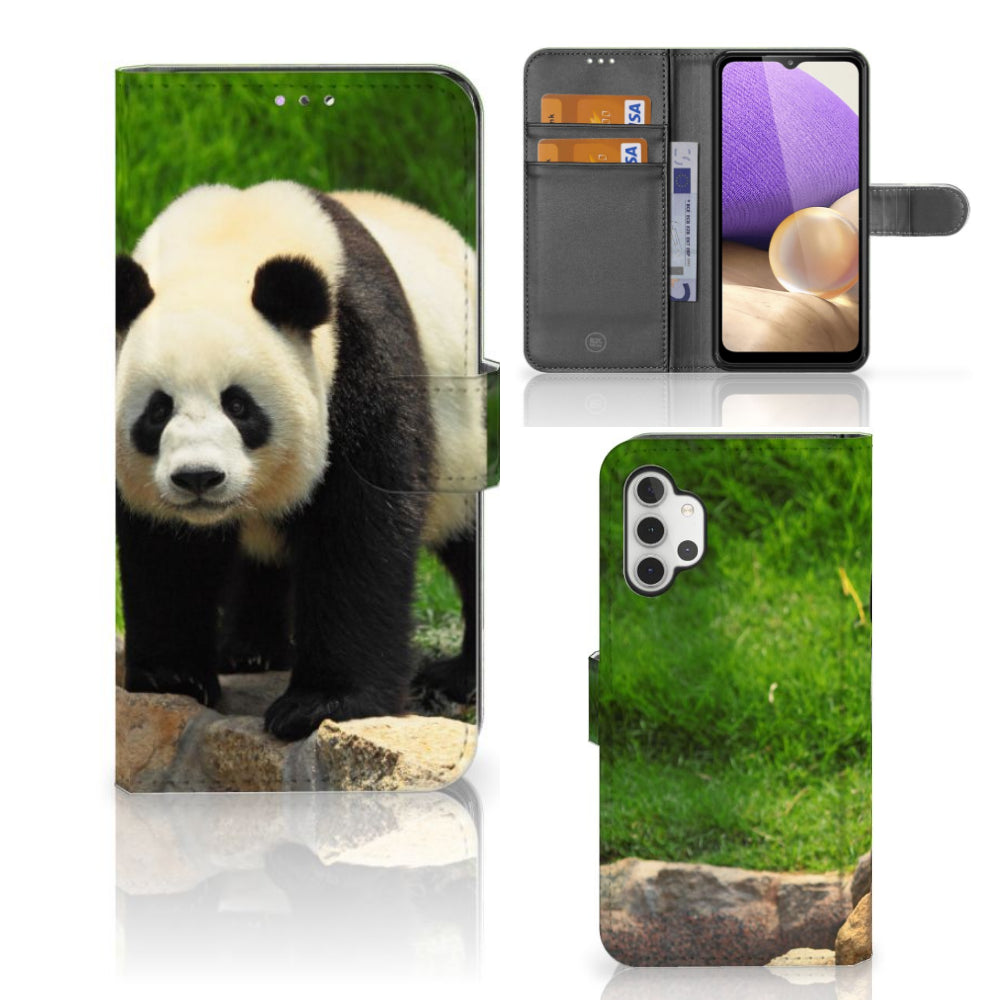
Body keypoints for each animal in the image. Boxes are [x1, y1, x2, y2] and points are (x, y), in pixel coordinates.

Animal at [115, 181, 483, 741]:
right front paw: (171, 677)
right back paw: (250, 650)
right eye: (158, 411)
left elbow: (357, 528)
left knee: (466, 532)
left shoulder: (359, 355)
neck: (225, 242)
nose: (199, 478)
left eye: (239, 405)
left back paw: (459, 677)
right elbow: (165, 548)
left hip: (464, 434)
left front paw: (321, 704)